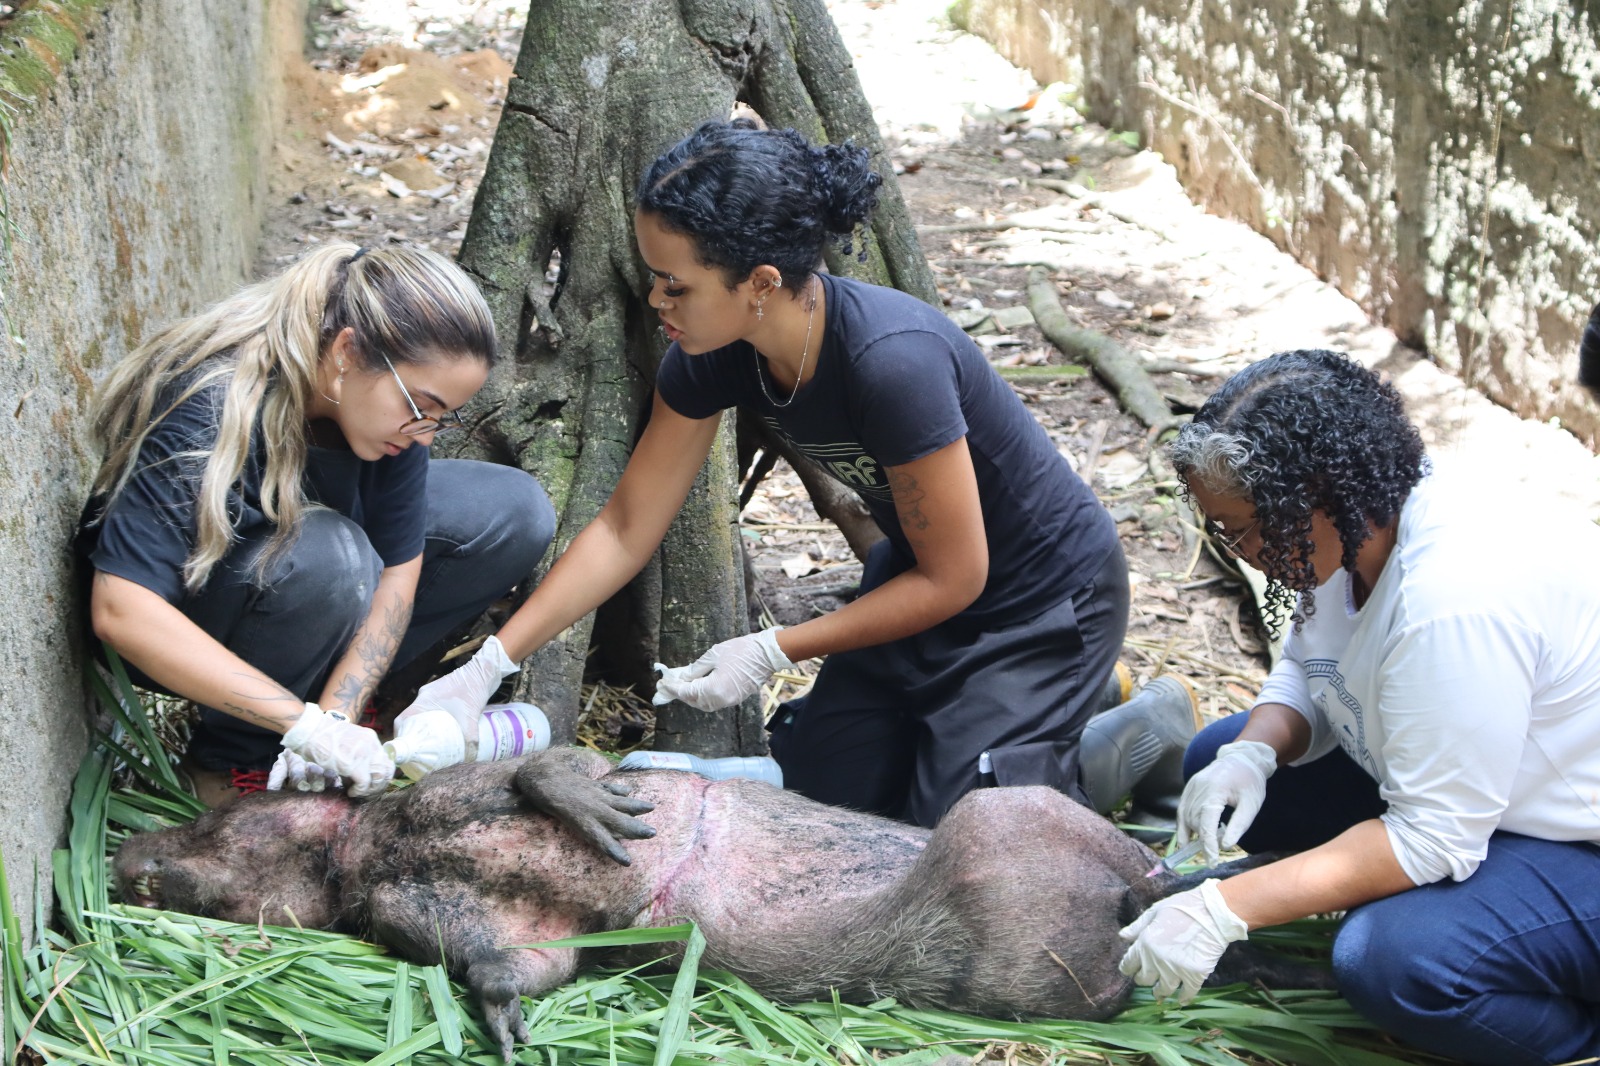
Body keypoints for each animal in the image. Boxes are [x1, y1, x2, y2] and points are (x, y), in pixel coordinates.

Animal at [115, 749, 1324, 1060]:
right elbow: (513, 962)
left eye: (221, 820)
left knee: (1143, 874)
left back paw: (1205, 881)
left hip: (1000, 820)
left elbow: (554, 763)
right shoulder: (450, 922)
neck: (359, 855)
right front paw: (506, 1028)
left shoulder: (452, 793)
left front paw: (599, 808)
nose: (124, 854)